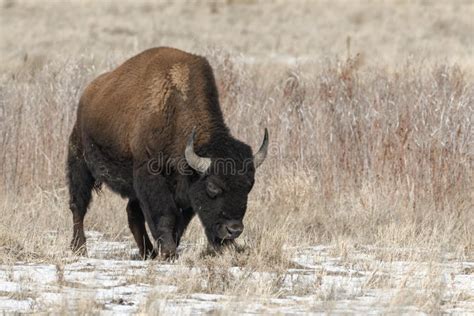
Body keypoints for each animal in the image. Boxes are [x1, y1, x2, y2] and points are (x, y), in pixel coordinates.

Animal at [66, 47, 268, 260]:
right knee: (78, 205)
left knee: (132, 213)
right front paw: (169, 252)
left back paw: (147, 252)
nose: (233, 230)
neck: (176, 109)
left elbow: (179, 222)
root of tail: (88, 93)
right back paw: (79, 248)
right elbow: (165, 215)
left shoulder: (185, 193)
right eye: (213, 186)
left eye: (249, 185)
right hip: (80, 163)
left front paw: (167, 250)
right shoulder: (152, 179)